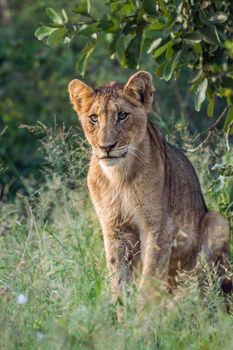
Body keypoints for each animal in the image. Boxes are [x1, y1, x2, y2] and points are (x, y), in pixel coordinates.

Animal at [68, 70, 231, 300]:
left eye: (122, 115)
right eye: (94, 118)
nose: (106, 147)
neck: (119, 176)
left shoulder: (158, 225)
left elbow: (151, 276)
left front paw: (144, 309)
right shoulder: (113, 228)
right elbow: (118, 277)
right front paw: (120, 308)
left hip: (217, 220)